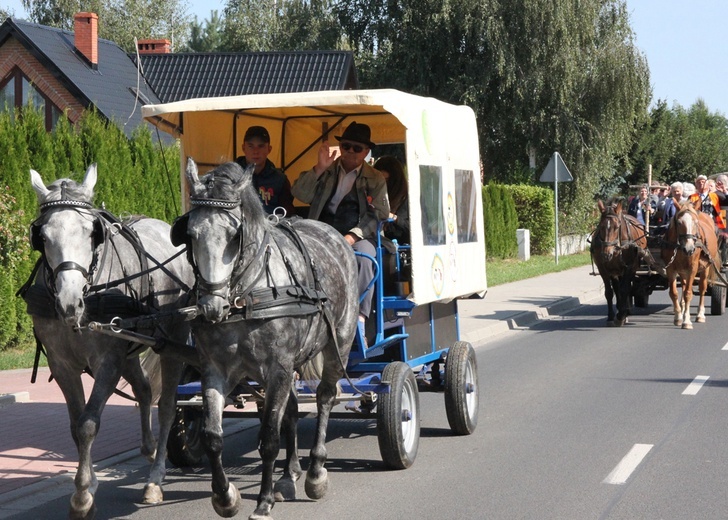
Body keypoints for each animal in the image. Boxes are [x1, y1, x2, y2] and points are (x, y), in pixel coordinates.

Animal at [26, 165, 196, 516]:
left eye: (92, 233)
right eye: (42, 236)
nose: (69, 303)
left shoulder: (107, 361)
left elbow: (88, 424)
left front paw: (82, 496)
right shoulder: (62, 365)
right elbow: (75, 426)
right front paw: (89, 486)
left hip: (173, 339)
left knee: (167, 405)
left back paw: (155, 478)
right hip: (130, 345)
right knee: (144, 390)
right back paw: (148, 449)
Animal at [174, 160, 362, 516]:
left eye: (234, 235)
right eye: (189, 234)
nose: (210, 307)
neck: (244, 297)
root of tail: (332, 234)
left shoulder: (278, 368)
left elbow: (269, 439)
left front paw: (262, 502)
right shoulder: (215, 370)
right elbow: (212, 437)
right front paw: (225, 497)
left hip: (338, 344)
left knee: (325, 397)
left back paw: (315, 472)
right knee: (291, 410)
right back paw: (289, 475)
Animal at [664, 199, 720, 330]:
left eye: (696, 222)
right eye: (679, 222)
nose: (689, 249)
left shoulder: (692, 269)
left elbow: (688, 293)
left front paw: (686, 321)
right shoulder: (671, 269)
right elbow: (673, 293)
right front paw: (679, 317)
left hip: (705, 267)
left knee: (702, 288)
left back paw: (700, 314)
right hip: (682, 271)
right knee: (684, 286)